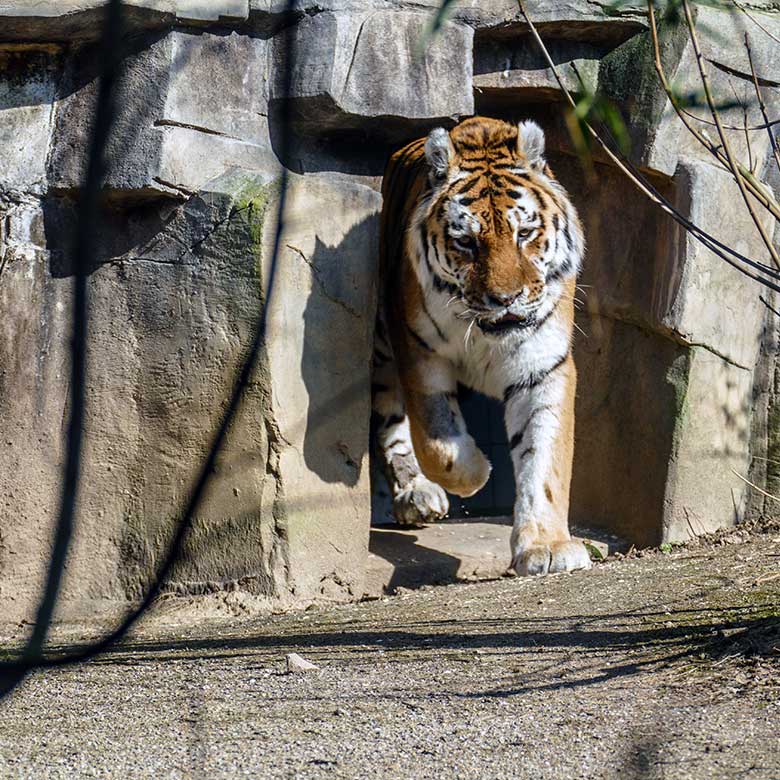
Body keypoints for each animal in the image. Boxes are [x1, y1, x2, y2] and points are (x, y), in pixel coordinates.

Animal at [374, 117, 592, 580]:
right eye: (466, 242)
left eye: (525, 234)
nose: (506, 299)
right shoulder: (418, 351)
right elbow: (439, 441)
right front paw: (477, 472)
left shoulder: (543, 368)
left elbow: (542, 458)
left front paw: (547, 547)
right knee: (390, 419)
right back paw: (418, 494)